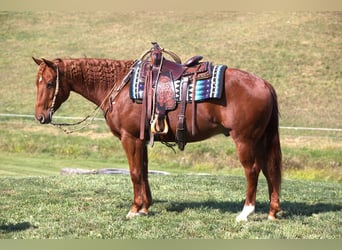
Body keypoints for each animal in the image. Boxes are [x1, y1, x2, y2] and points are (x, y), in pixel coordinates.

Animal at [32, 51, 282, 220]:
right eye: (37, 83)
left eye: (50, 83)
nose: (40, 116)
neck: (120, 86)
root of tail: (265, 84)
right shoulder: (141, 140)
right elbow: (143, 171)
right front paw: (145, 207)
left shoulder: (130, 138)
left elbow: (134, 173)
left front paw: (134, 209)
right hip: (260, 140)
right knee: (270, 170)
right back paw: (272, 211)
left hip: (245, 140)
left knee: (252, 171)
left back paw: (246, 213)